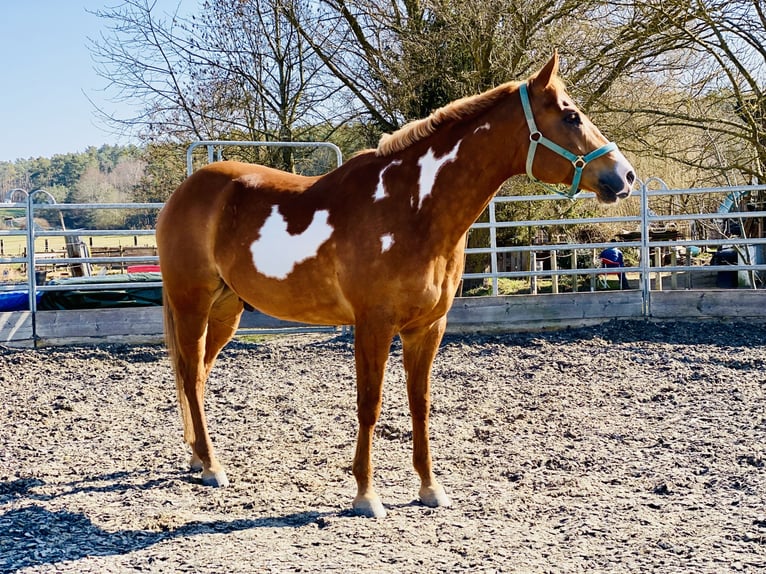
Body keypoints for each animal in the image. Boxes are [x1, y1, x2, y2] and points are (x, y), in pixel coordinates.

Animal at [156, 52, 636, 518]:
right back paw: (212, 466)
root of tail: (183, 193)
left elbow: (419, 404)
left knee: (197, 375)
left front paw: (430, 488)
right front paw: (366, 495)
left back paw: (198, 457)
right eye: (571, 116)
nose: (625, 176)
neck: (412, 209)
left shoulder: (427, 328)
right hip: (192, 304)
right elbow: (369, 406)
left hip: (227, 310)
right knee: (190, 375)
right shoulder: (374, 326)